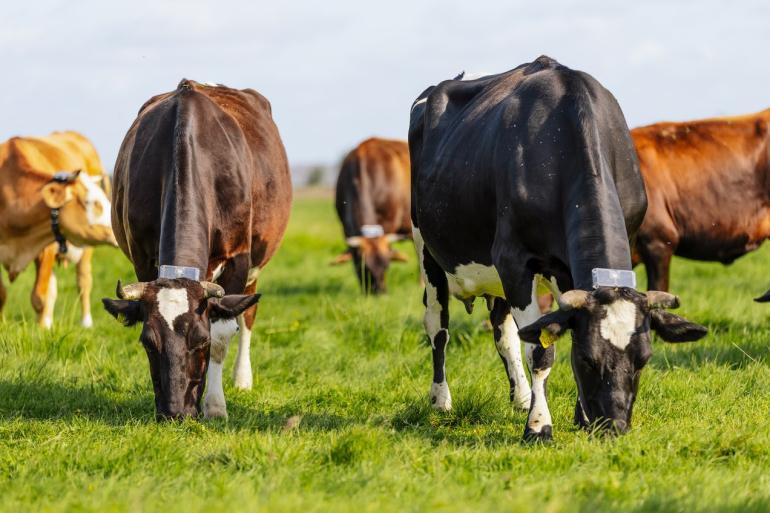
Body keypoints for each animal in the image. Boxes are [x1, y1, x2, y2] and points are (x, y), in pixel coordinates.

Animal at [0, 131, 117, 327]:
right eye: (92, 202)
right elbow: (2, 294)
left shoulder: (46, 248)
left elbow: (39, 297)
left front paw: (40, 330)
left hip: (86, 250)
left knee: (83, 281)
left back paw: (86, 322)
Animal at [103, 79, 292, 421]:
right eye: (148, 343)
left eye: (200, 340)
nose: (175, 412)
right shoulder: (142, 257)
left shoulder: (237, 258)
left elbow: (224, 334)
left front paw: (215, 406)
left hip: (255, 266)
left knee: (248, 314)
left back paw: (242, 378)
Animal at [409, 56, 707, 441]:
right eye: (588, 360)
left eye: (644, 359)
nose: (615, 427)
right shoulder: (514, 261)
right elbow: (540, 352)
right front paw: (538, 426)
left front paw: (579, 418)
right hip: (426, 249)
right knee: (438, 327)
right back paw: (441, 400)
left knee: (504, 333)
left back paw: (520, 397)